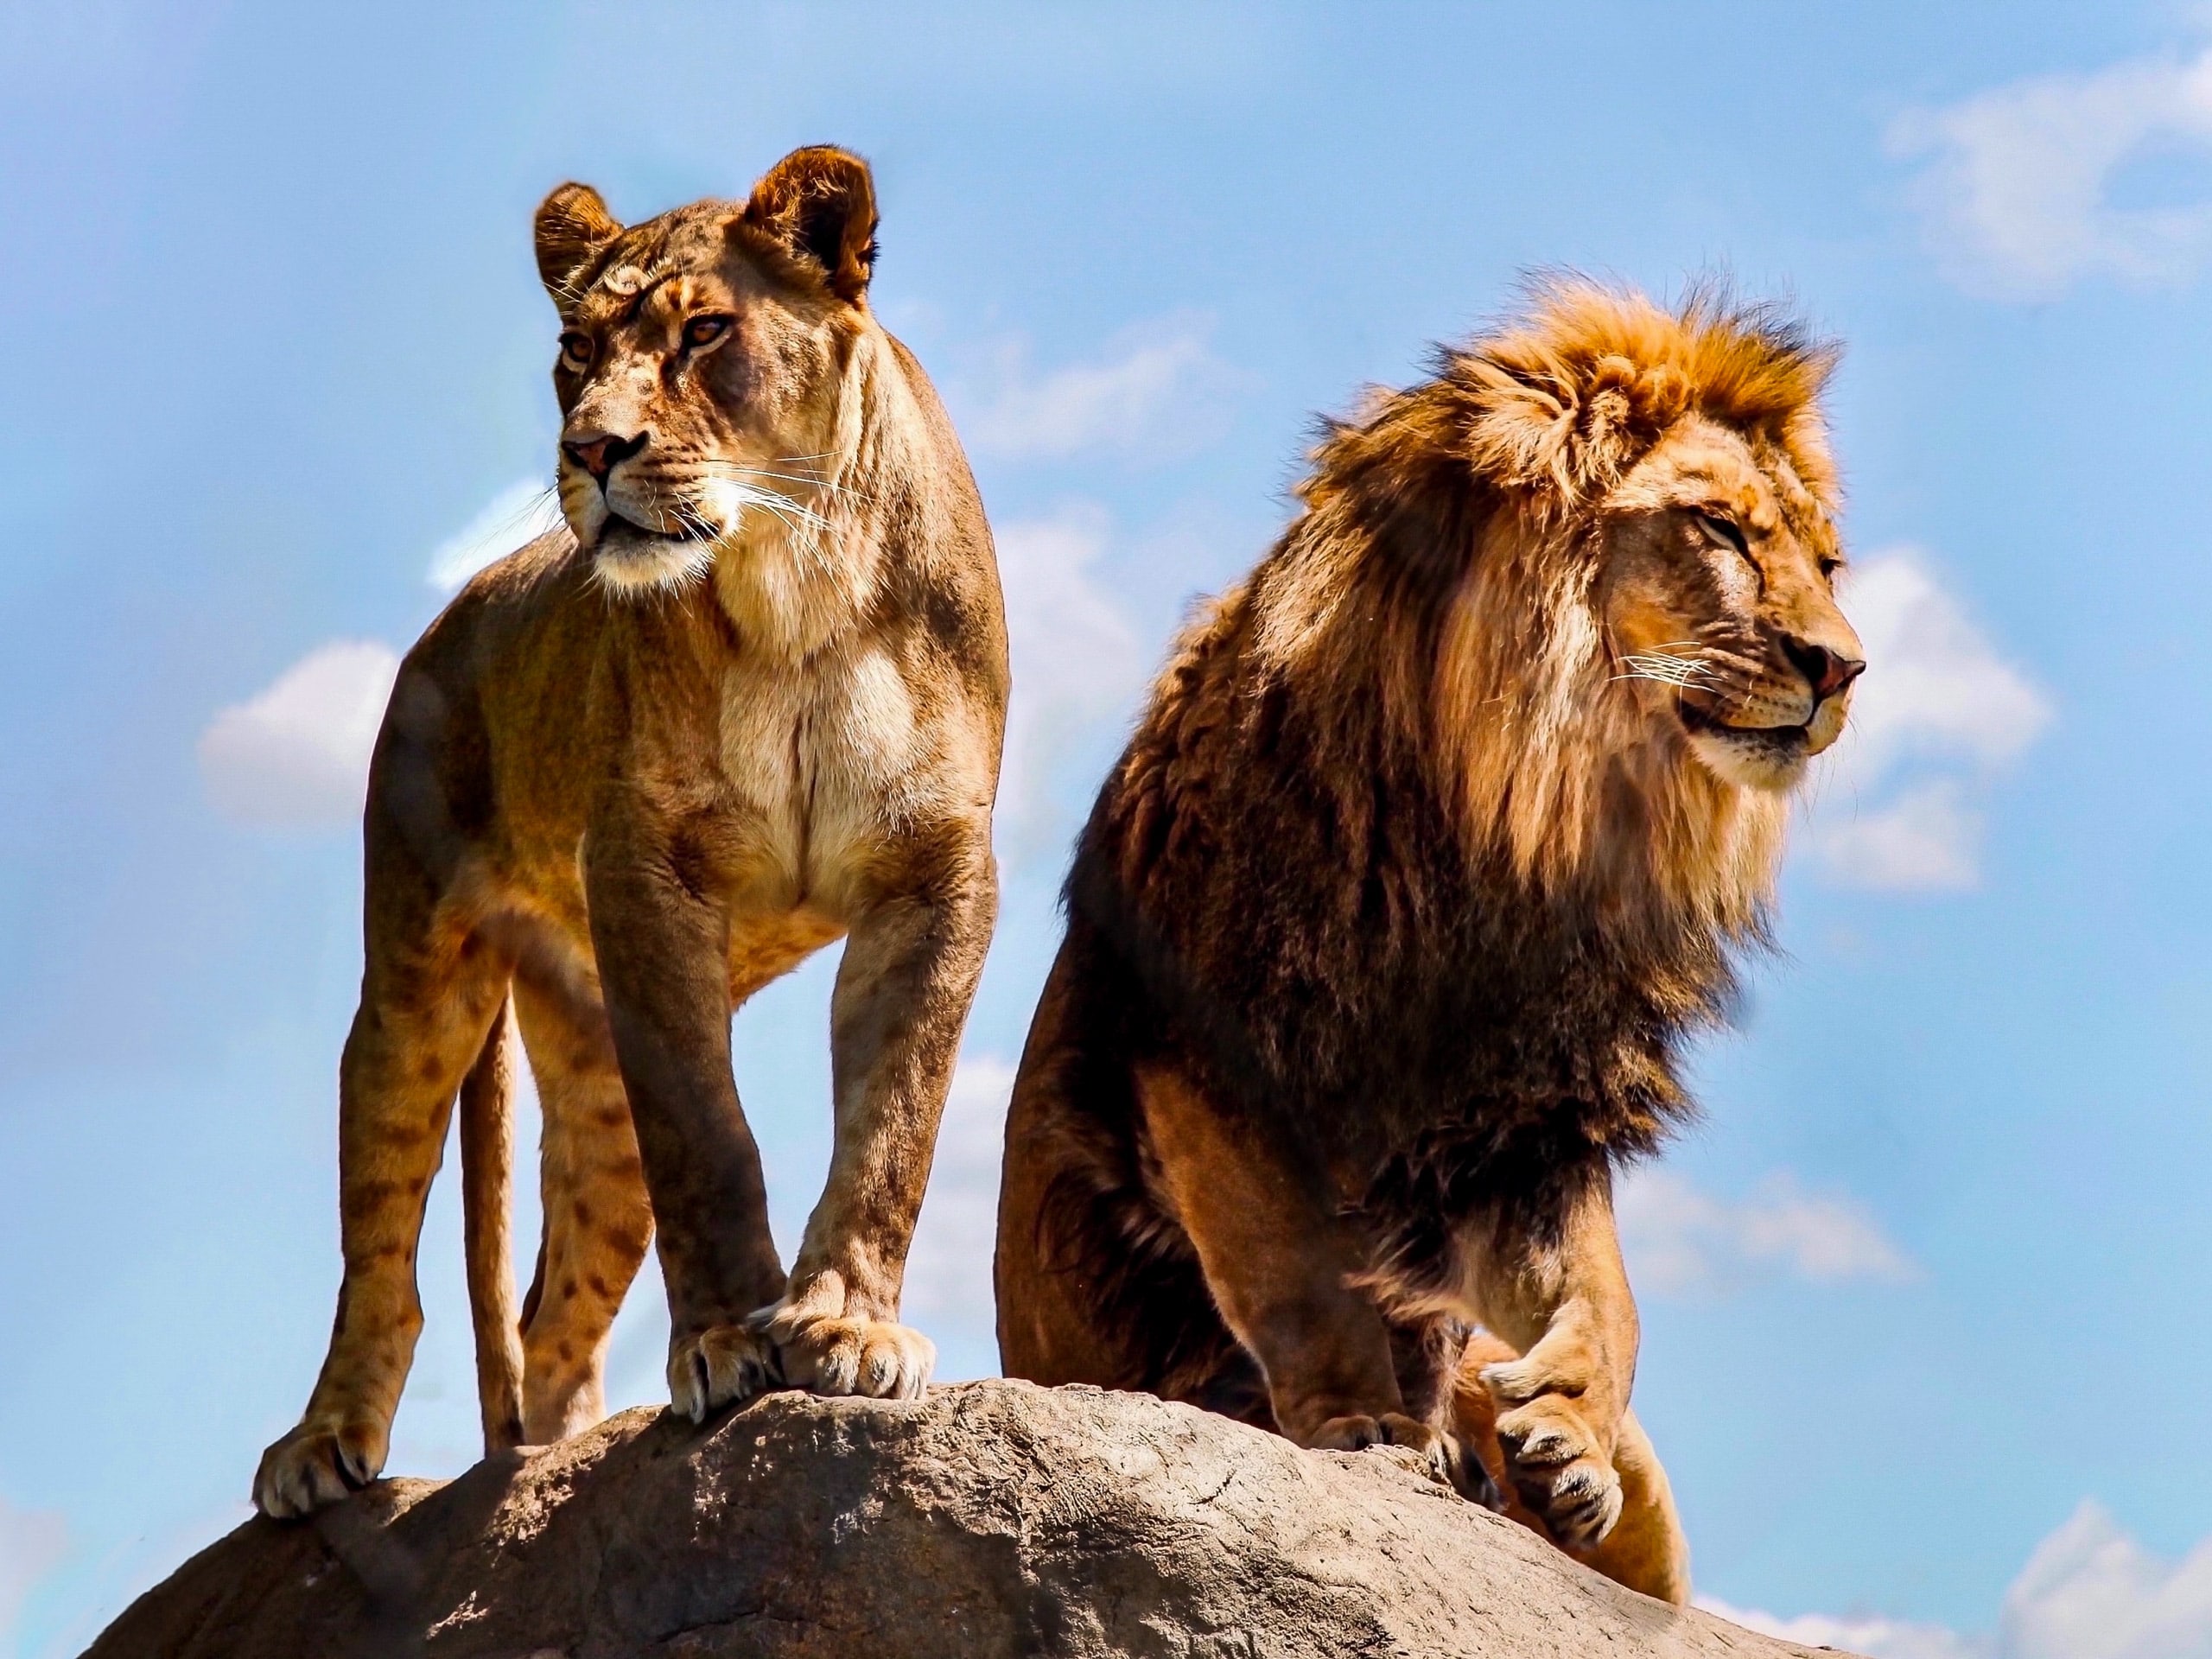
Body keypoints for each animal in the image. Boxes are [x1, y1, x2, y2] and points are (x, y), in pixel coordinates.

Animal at [254, 145, 1008, 1522]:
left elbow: (895, 1119)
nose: (591, 448)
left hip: (594, 1073)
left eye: (705, 331)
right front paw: (724, 1344)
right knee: (382, 1257)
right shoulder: (647, 877)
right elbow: (708, 1138)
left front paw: (844, 1324)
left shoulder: (936, 876)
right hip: (417, 985)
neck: (795, 587)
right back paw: (324, 1445)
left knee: (553, 1314)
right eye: (575, 347)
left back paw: (549, 1471)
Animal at [995, 285, 1858, 1610]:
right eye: (1716, 526)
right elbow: (1298, 1273)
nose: (1846, 667)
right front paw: (1363, 1426)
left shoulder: (1519, 1126)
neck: (1518, 823)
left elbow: (1608, 1295)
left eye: (1825, 564)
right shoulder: (1208, 1055)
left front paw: (1563, 1429)